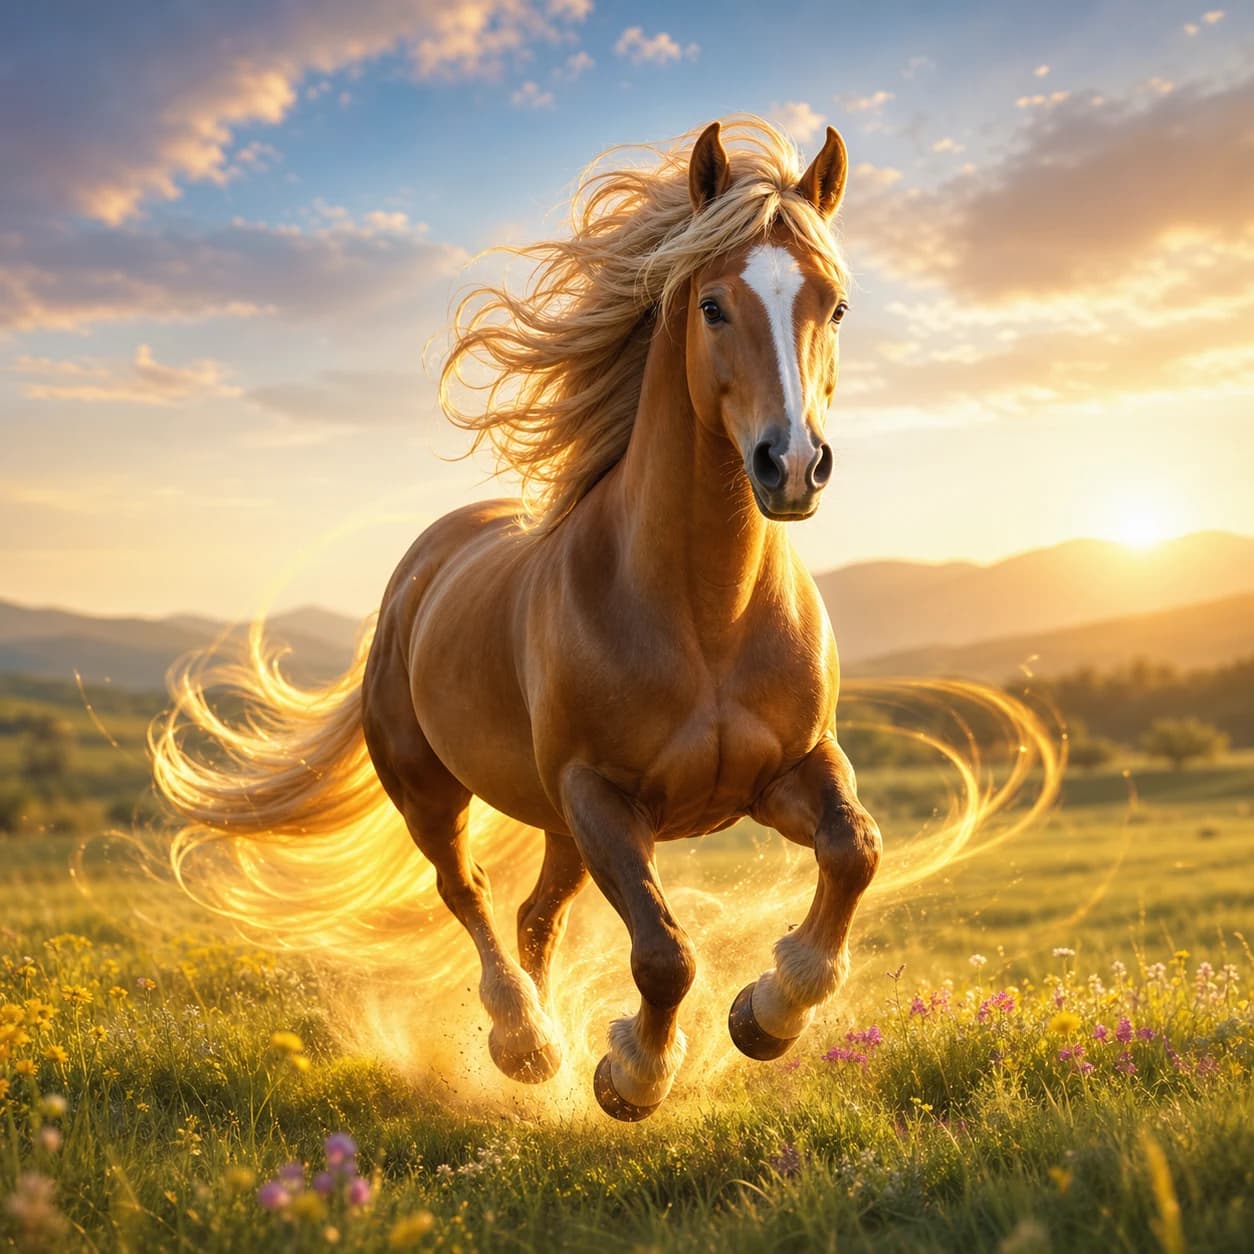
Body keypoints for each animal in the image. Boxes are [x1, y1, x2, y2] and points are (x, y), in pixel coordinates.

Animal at [153, 118, 882, 1121]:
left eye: (835, 307)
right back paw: (525, 1041)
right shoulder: (600, 794)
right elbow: (663, 953)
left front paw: (769, 1013)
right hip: (434, 789)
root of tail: (425, 563)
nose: (792, 464)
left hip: (556, 824)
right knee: (466, 891)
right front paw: (632, 1074)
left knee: (536, 914)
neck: (705, 617)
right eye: (712, 306)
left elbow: (854, 851)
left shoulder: (792, 768)